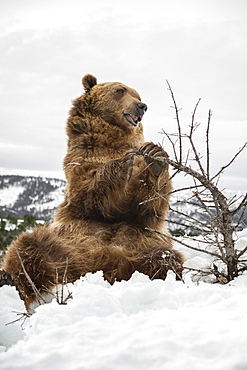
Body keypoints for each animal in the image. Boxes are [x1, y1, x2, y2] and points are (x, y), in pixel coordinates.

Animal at [0, 73, 183, 310]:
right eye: (120, 90)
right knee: (28, 247)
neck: (111, 140)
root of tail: (100, 264)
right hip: (66, 242)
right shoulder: (81, 160)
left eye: (138, 94)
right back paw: (9, 278)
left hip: (139, 243)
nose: (142, 106)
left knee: (163, 257)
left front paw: (155, 157)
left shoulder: (140, 218)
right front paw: (124, 162)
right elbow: (91, 193)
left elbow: (146, 208)